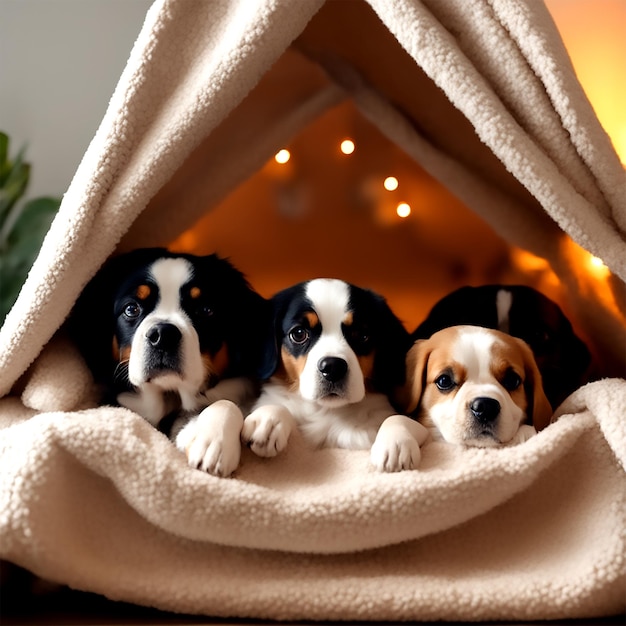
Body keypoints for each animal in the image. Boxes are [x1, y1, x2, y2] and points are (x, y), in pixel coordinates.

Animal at [236, 278, 426, 468]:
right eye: (299, 333)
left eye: (361, 334)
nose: (333, 368)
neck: (325, 412)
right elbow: (278, 405)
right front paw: (268, 419)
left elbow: (399, 418)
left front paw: (396, 442)